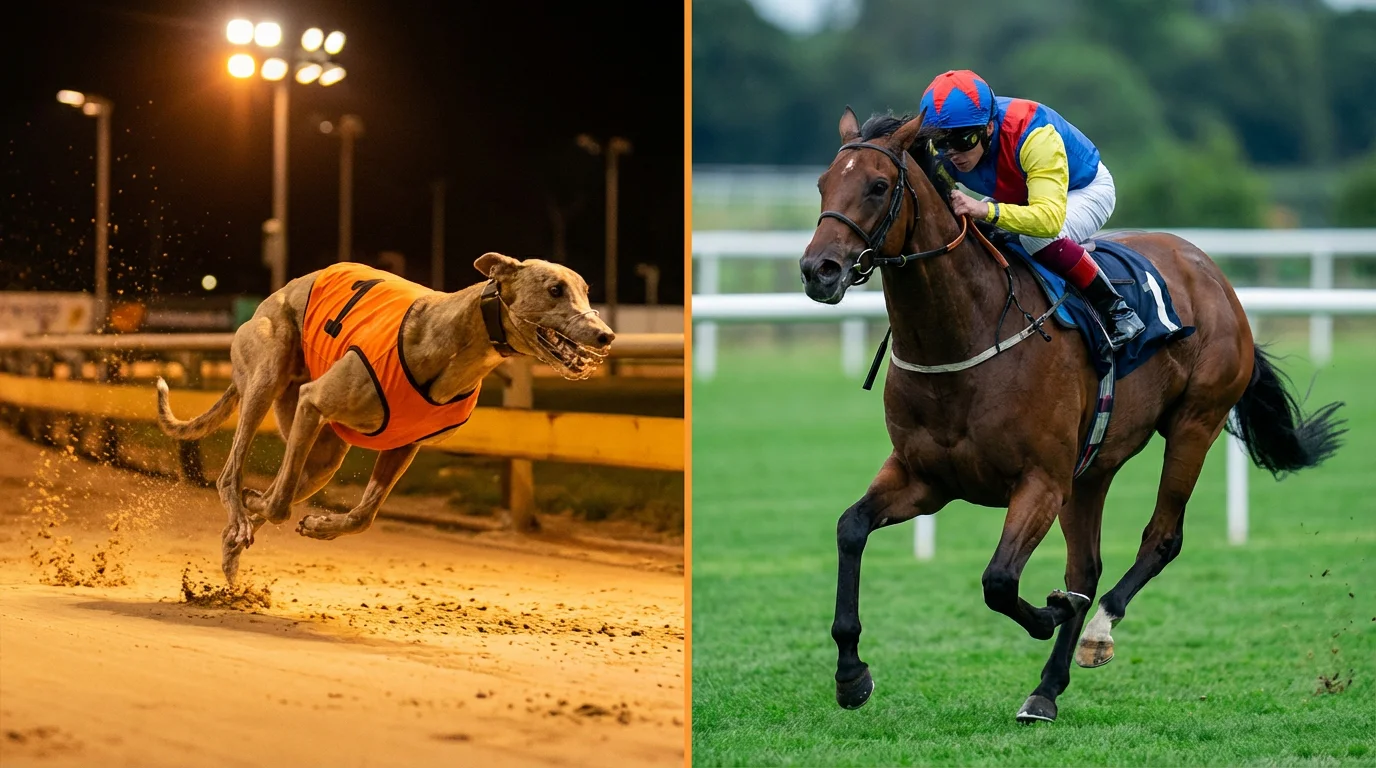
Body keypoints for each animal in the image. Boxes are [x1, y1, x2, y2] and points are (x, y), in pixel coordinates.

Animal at [799, 106, 1348, 723]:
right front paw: (851, 673)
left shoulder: (1040, 481)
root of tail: (1211, 270)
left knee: (1161, 538)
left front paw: (1055, 611)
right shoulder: (926, 478)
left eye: (877, 185)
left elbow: (999, 580)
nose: (818, 269)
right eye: (823, 183)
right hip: (1092, 468)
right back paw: (1046, 689)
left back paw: (1097, 630)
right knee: (1086, 564)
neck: (966, 334)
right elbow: (851, 528)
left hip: (1194, 423)